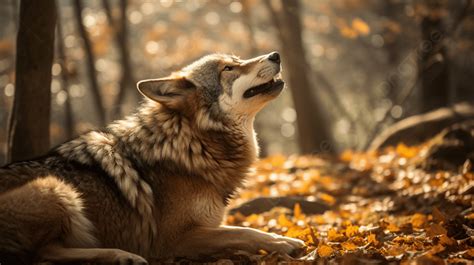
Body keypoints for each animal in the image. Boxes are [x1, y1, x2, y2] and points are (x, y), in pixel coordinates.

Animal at [0, 51, 304, 262]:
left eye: (238, 60)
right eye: (228, 68)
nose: (275, 55)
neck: (193, 142)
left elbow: (237, 228)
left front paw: (280, 238)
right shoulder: (174, 239)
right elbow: (241, 232)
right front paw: (281, 242)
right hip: (55, 187)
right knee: (43, 254)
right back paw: (122, 255)